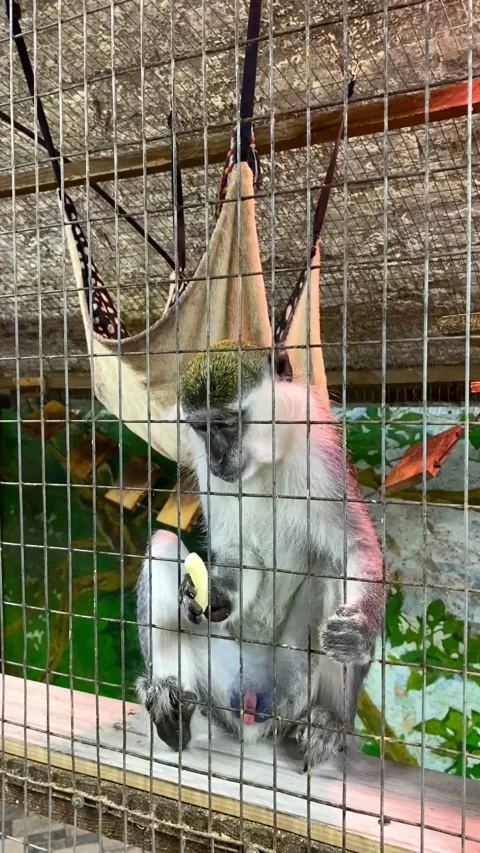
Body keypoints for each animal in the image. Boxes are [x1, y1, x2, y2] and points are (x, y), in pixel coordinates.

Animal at [136, 340, 385, 769]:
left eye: (225, 424)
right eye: (201, 428)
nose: (217, 459)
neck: (266, 461)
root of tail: (252, 709)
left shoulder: (318, 450)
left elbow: (356, 547)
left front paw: (360, 629)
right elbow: (238, 554)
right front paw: (213, 593)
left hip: (293, 684)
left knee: (332, 568)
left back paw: (330, 721)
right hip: (222, 684)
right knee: (164, 547)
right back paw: (171, 708)